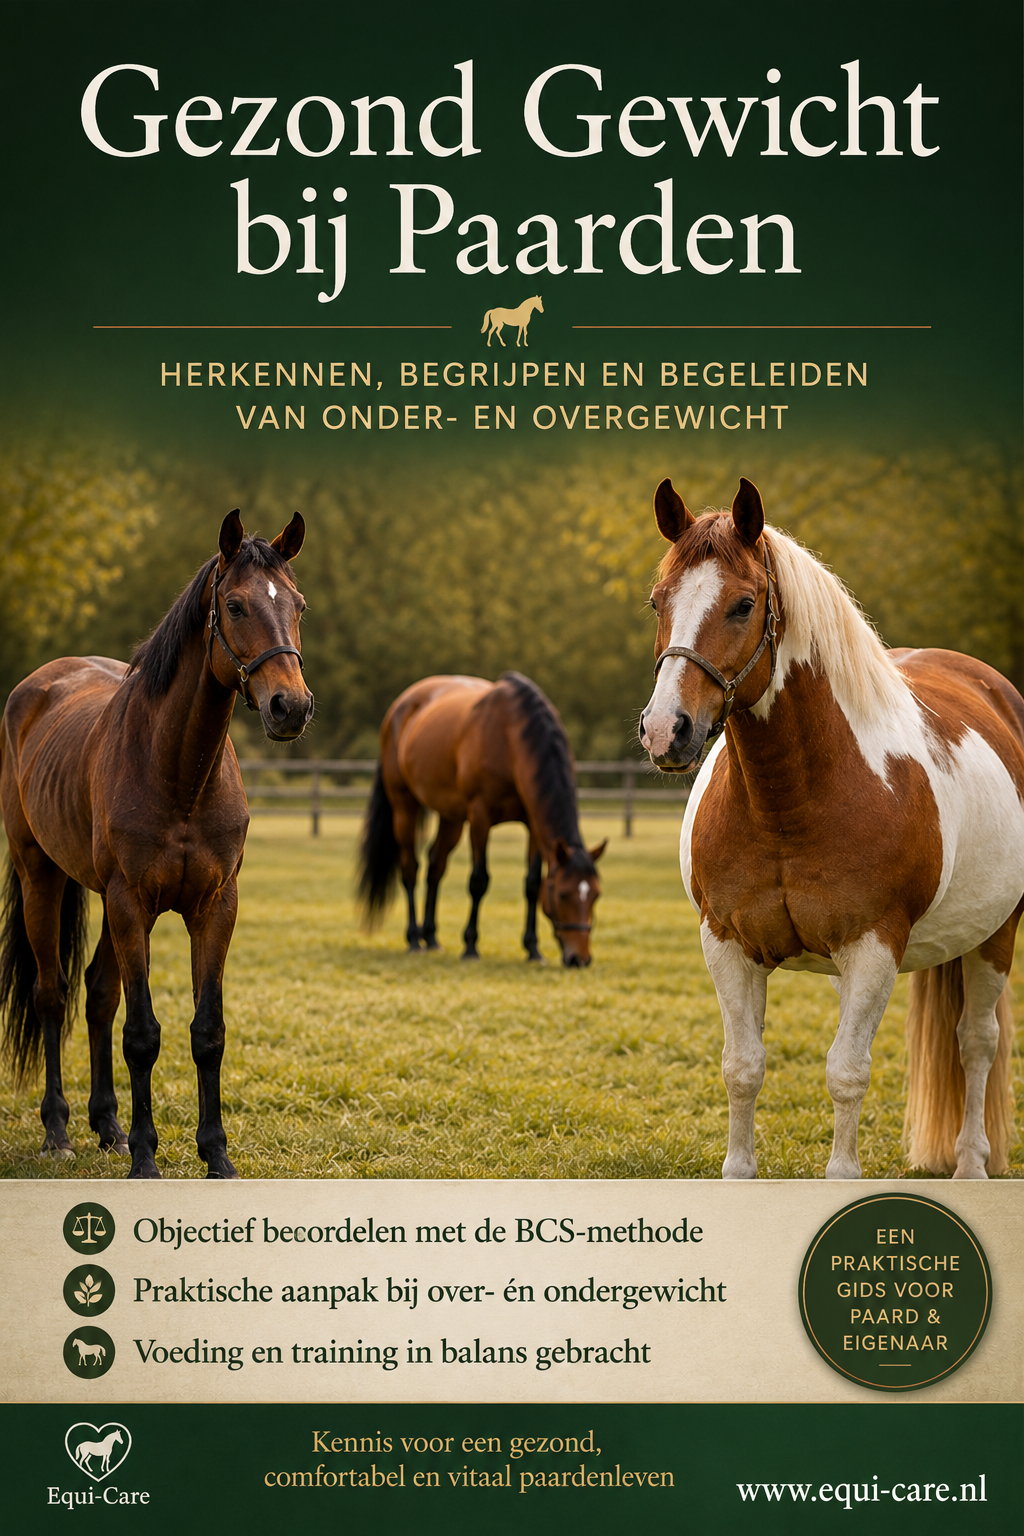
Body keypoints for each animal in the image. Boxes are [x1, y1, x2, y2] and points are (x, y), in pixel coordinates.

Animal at [0, 511, 313, 1179]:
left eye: (297, 605)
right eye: (236, 605)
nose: (291, 706)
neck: (179, 774)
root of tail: (37, 686)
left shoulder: (215, 907)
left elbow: (207, 1031)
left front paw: (215, 1154)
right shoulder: (130, 903)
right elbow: (142, 1034)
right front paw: (147, 1157)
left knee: (96, 995)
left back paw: (108, 1127)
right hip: (42, 878)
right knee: (51, 996)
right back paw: (59, 1130)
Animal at [358, 672, 605, 965]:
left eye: (595, 895)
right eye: (563, 894)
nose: (580, 959)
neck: (510, 736)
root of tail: (399, 707)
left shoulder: (533, 824)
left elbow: (532, 884)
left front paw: (533, 949)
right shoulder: (480, 818)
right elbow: (479, 880)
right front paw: (470, 946)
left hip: (451, 817)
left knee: (435, 866)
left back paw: (431, 938)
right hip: (404, 806)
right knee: (410, 868)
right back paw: (414, 940)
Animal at [640, 476, 1023, 1181]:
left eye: (743, 605)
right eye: (658, 601)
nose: (665, 730)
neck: (788, 807)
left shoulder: (872, 950)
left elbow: (847, 1074)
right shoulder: (725, 944)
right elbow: (742, 1067)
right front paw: (738, 1172)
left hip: (997, 933)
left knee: (976, 1044)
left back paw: (970, 1164)